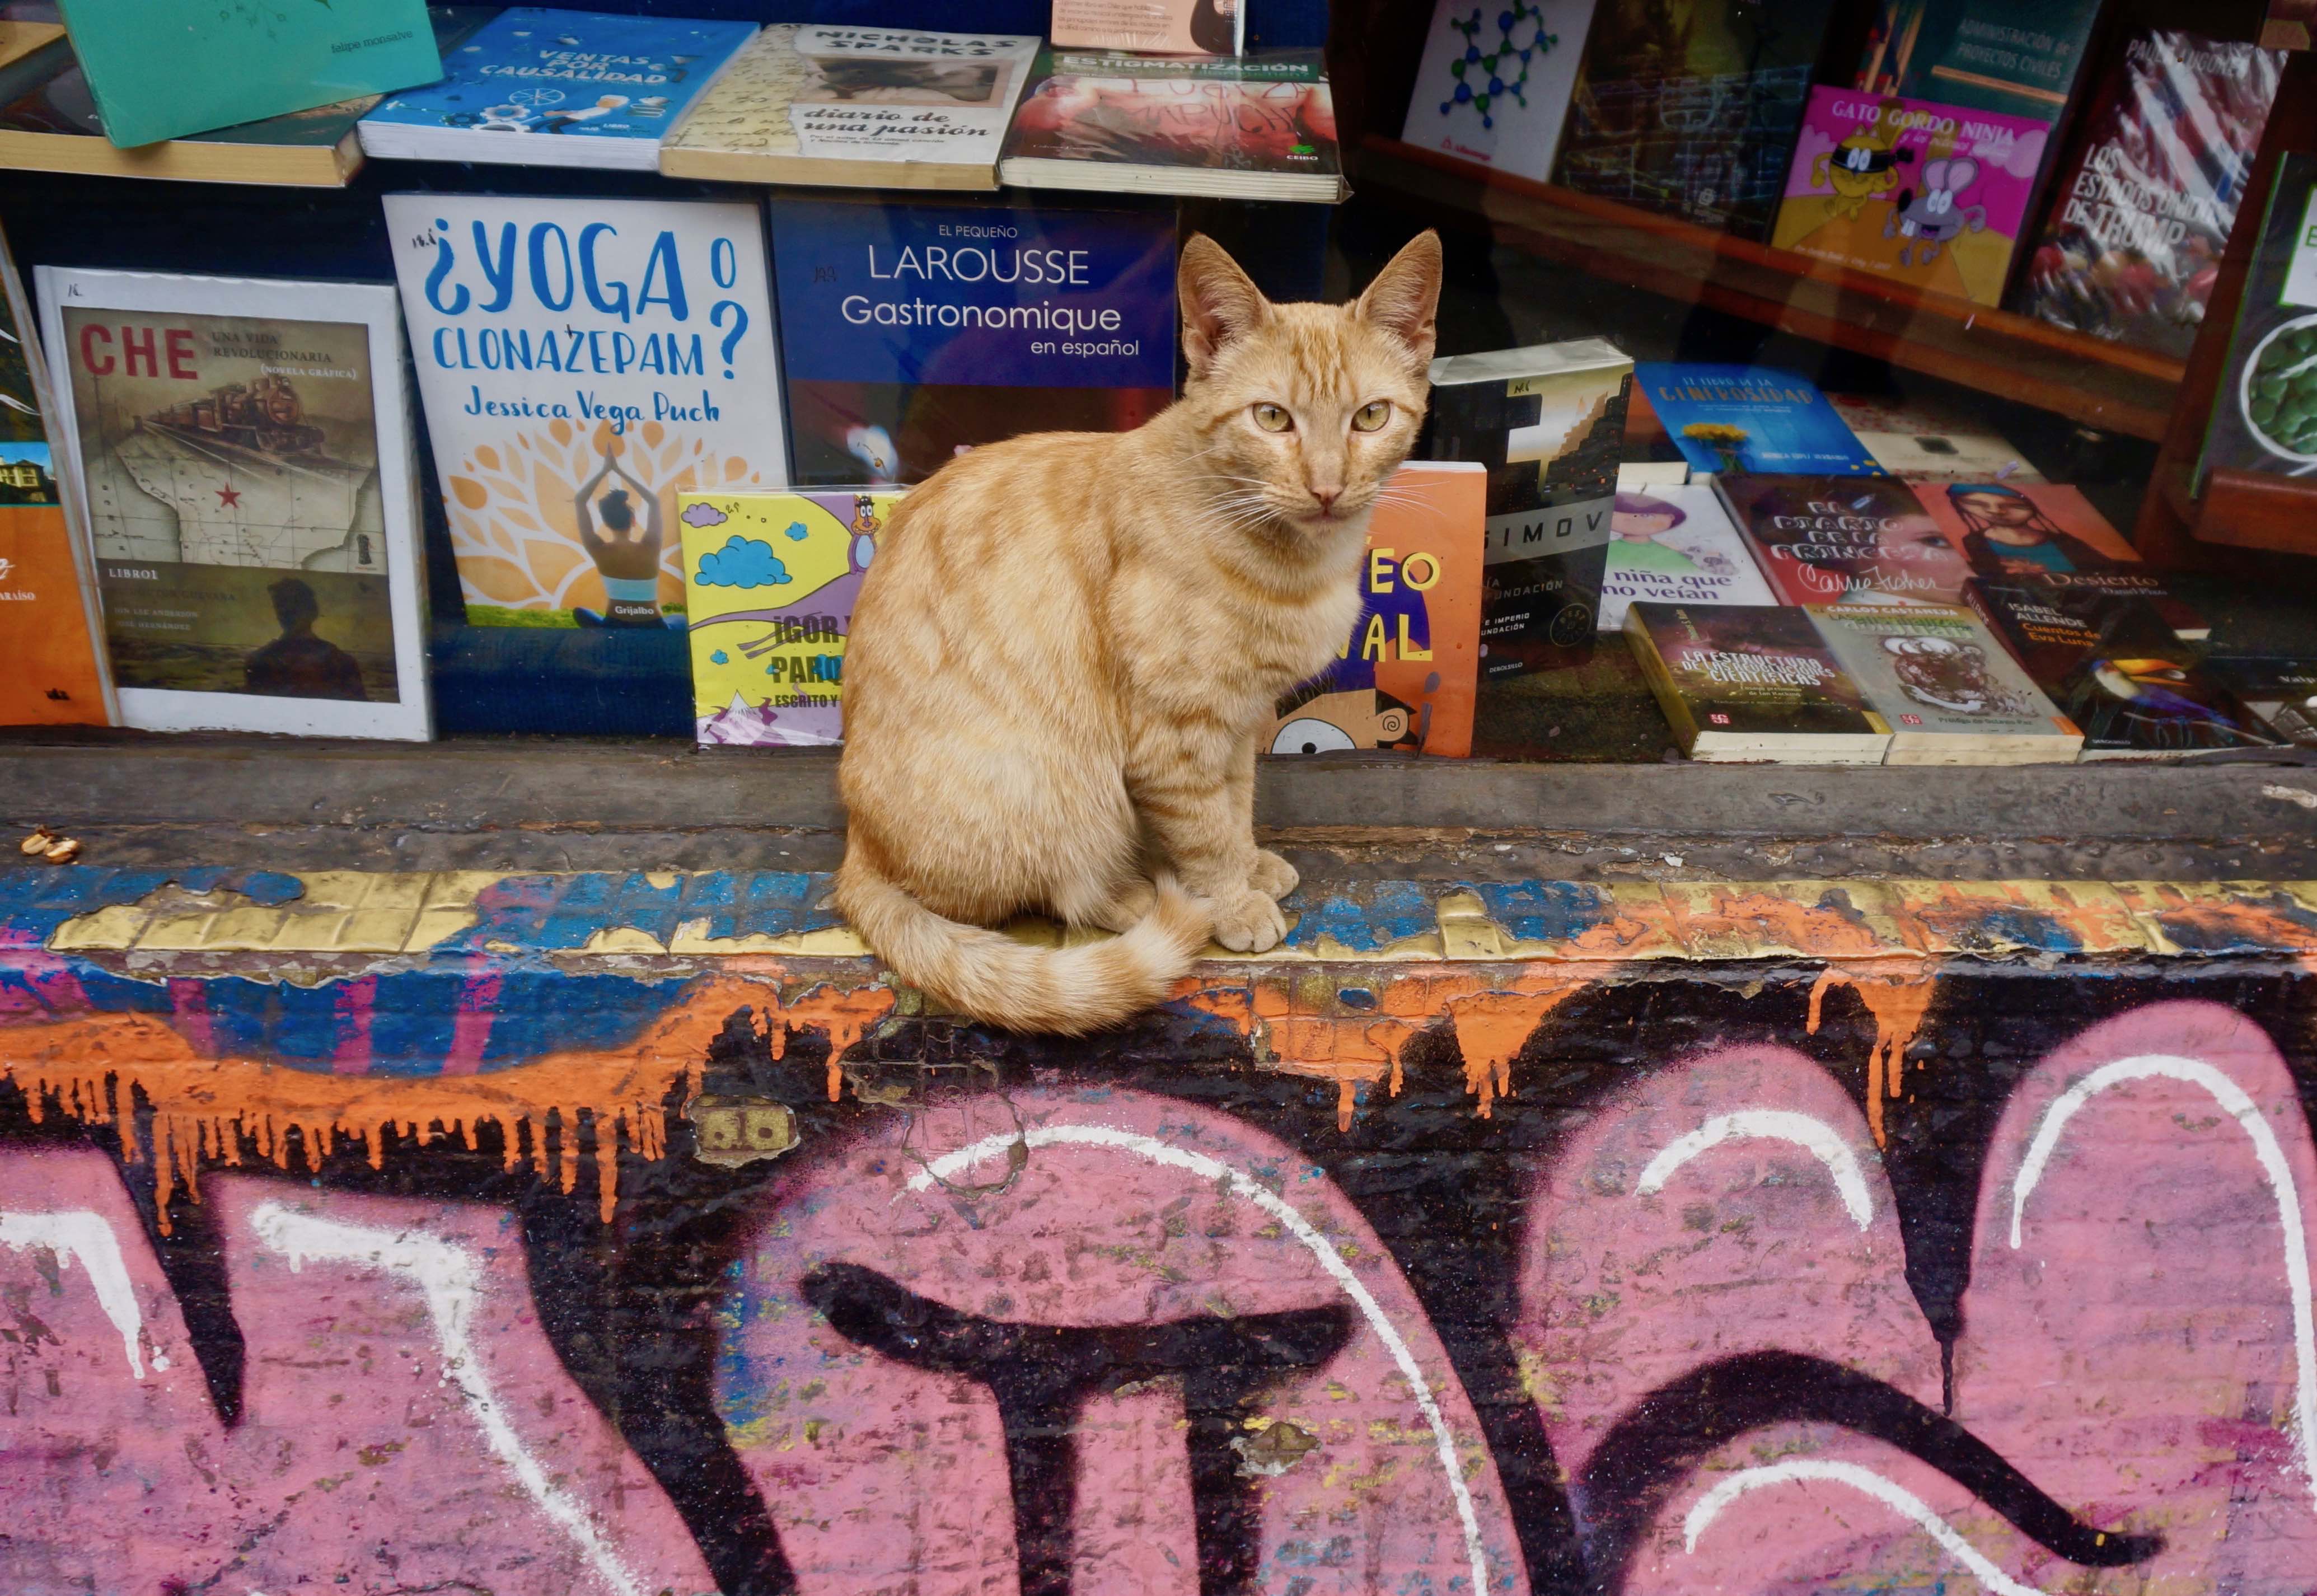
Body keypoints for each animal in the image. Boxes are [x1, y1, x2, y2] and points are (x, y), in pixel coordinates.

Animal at [835, 229, 1443, 1034]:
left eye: (1370, 417)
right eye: (1271, 418)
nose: (1325, 487)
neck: (1296, 563)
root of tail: (855, 847)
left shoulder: (1238, 723)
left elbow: (1234, 805)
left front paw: (1251, 865)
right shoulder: (1172, 736)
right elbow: (1204, 830)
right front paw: (1231, 899)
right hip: (1053, 780)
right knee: (1047, 894)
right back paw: (1135, 896)